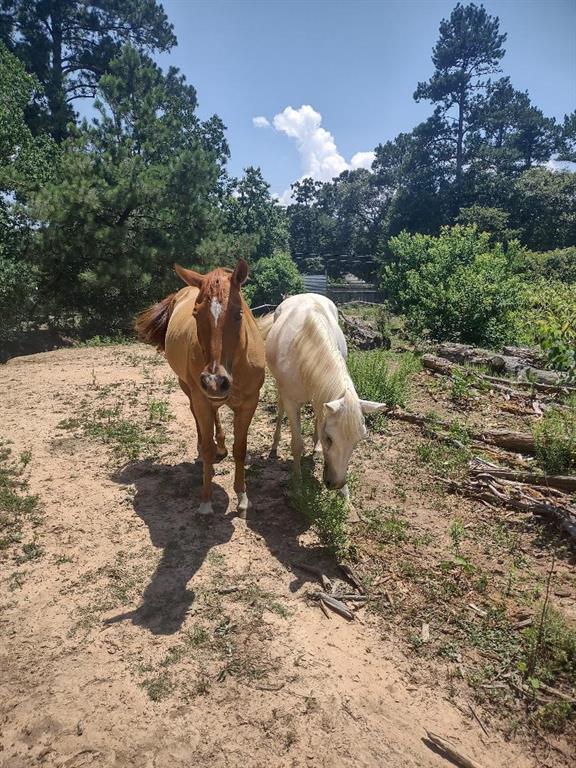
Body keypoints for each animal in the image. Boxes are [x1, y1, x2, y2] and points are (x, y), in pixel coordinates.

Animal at [136, 260, 266, 520]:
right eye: (196, 314)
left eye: (238, 313)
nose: (215, 380)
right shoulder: (202, 397)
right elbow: (206, 446)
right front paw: (205, 502)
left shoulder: (249, 403)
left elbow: (240, 449)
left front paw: (242, 498)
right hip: (188, 387)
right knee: (196, 415)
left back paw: (221, 446)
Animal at [266, 292, 388, 496]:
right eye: (329, 438)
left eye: (357, 440)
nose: (336, 484)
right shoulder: (291, 401)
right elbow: (297, 443)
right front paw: (297, 483)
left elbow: (320, 419)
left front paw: (345, 493)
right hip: (280, 387)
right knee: (280, 406)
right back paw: (275, 445)